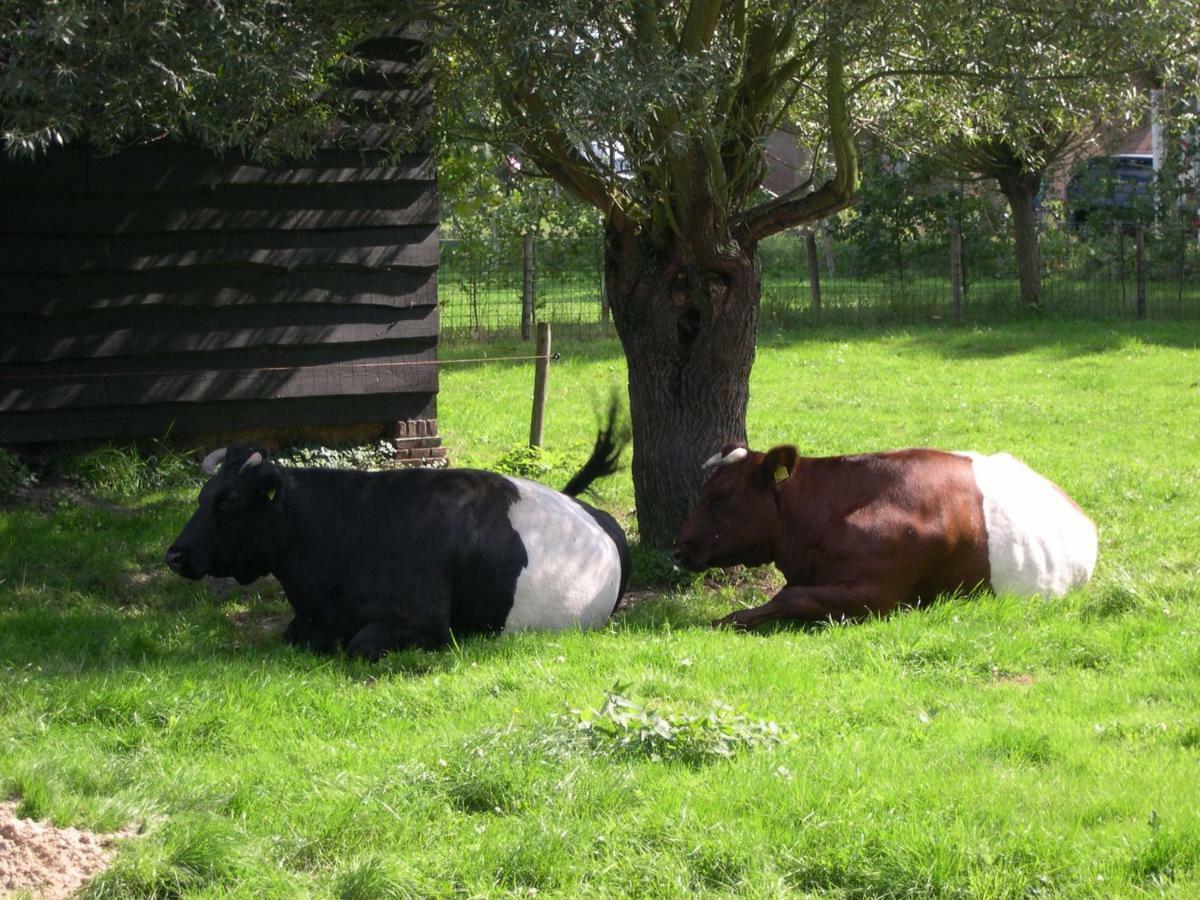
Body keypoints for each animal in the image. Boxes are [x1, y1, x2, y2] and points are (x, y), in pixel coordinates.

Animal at [165, 415, 633, 657]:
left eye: (229, 500)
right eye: (202, 496)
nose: (175, 554)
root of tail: (598, 518)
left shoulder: (423, 623)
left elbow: (359, 644)